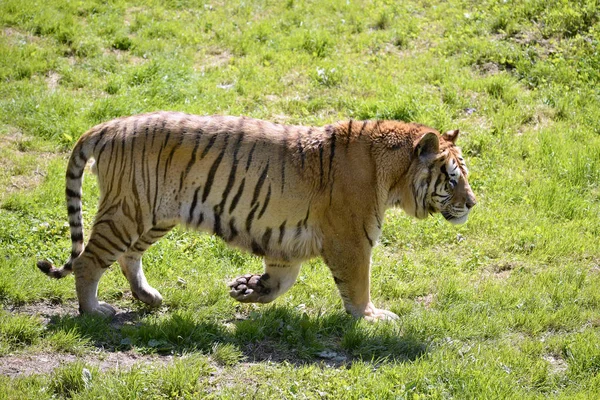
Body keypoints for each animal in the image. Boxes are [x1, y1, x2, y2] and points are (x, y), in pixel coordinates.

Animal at [37, 111, 476, 322]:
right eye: (453, 178)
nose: (472, 204)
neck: (393, 177)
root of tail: (109, 125)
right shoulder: (351, 242)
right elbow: (358, 287)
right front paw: (371, 317)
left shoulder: (286, 241)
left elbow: (282, 281)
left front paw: (248, 289)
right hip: (129, 210)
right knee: (88, 261)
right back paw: (93, 312)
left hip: (156, 215)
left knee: (129, 256)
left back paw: (148, 297)